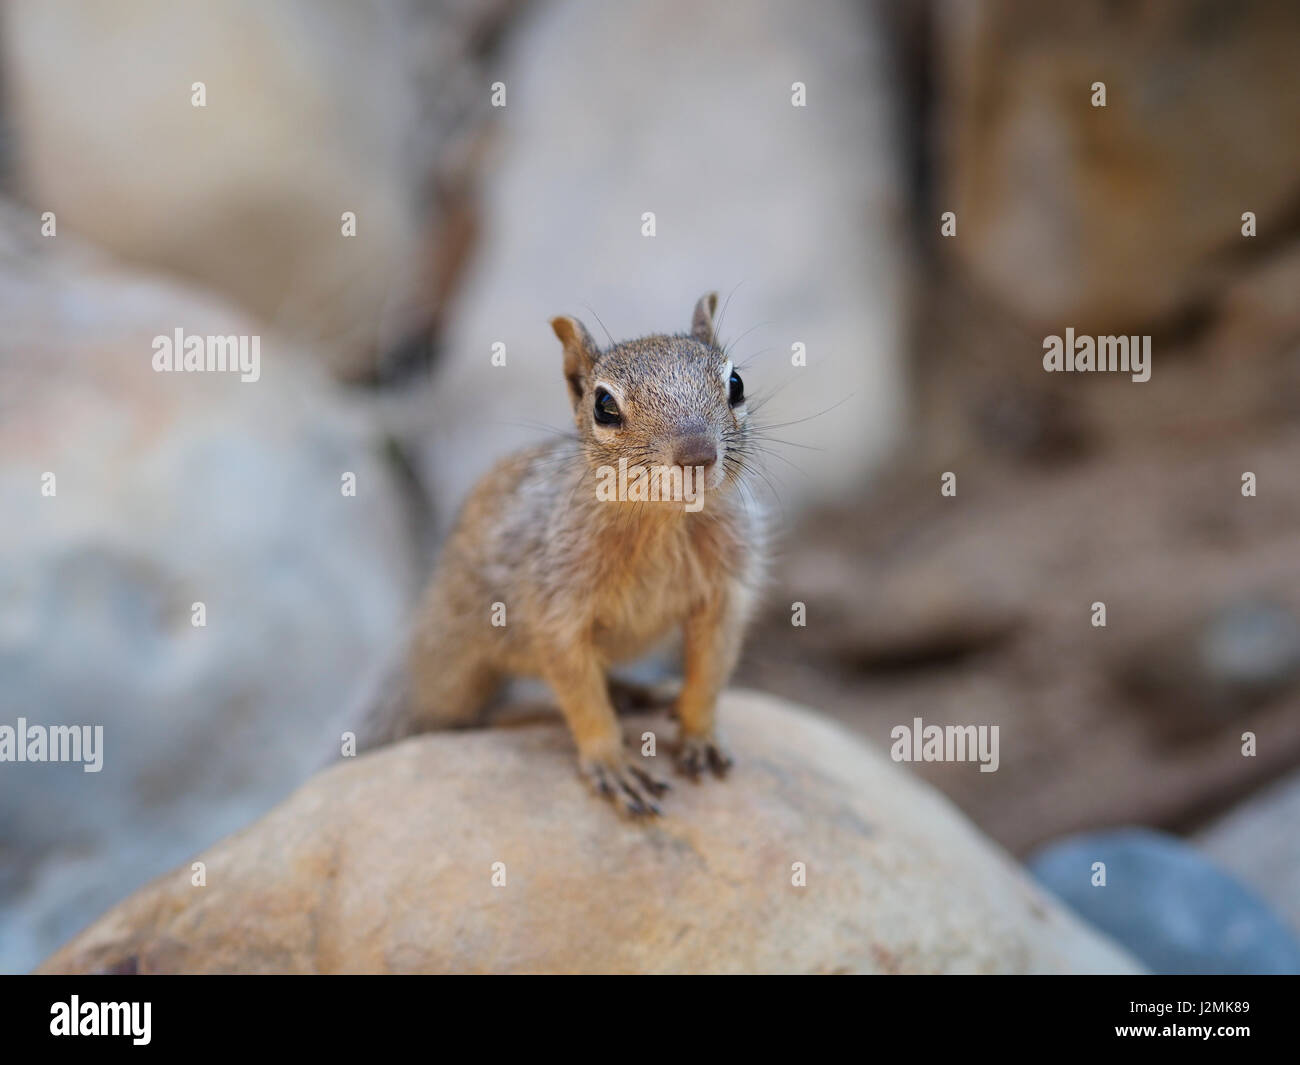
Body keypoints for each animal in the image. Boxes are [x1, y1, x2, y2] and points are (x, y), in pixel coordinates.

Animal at [351, 291, 764, 816]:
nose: (696, 455)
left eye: (736, 383)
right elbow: (579, 692)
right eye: (604, 406)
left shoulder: (725, 594)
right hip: (454, 672)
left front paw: (700, 734)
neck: (661, 520)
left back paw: (640, 693)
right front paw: (612, 763)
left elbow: (710, 671)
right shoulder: (557, 608)